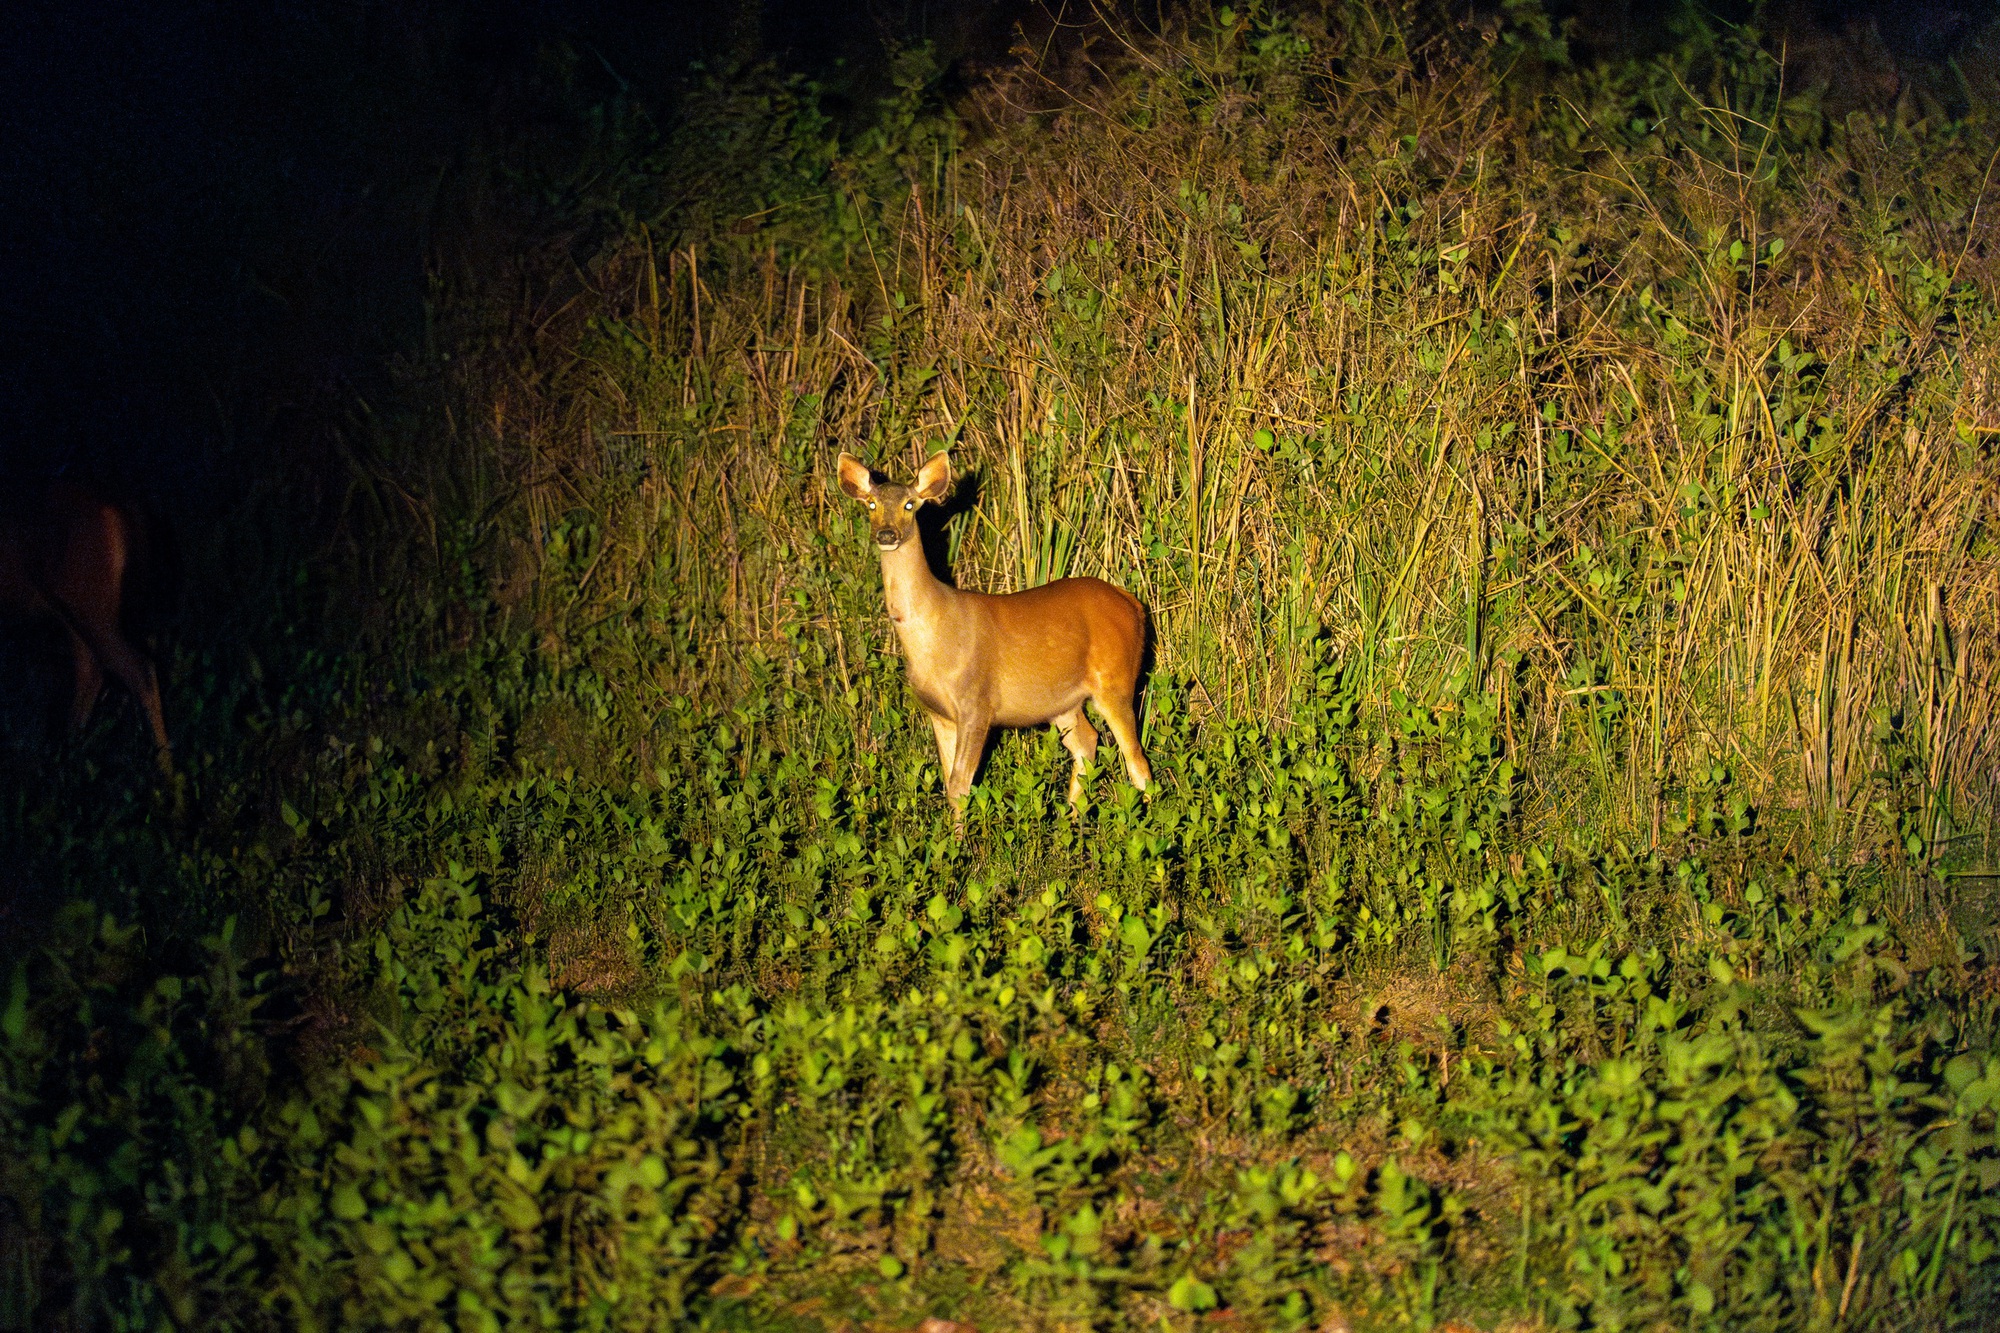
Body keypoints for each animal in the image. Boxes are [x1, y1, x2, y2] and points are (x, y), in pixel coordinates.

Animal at [0, 474, 174, 768]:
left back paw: (165, 771)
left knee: (138, 670)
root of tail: (121, 507)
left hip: (89, 608)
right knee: (91, 672)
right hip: (72, 611)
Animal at [836, 448, 1152, 820]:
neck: (934, 635)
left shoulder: (977, 702)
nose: (887, 534)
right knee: (1088, 744)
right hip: (1062, 701)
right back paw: (1071, 821)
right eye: (871, 504)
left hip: (1115, 680)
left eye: (910, 504)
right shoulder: (938, 713)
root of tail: (1133, 604)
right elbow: (949, 784)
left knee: (1137, 759)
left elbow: (960, 786)